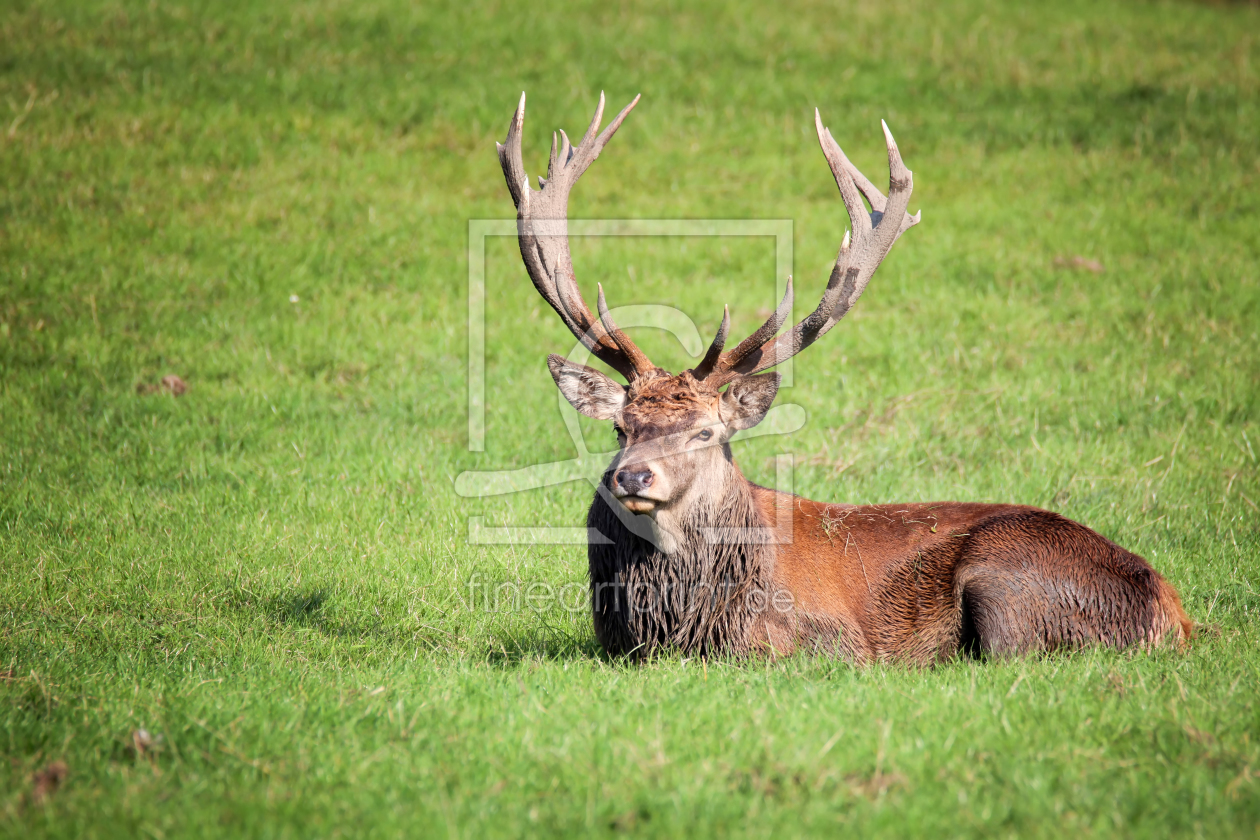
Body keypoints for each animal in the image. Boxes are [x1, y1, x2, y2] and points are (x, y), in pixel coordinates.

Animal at [491, 93, 1189, 664]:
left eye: (707, 433)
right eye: (619, 428)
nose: (633, 477)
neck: (683, 623)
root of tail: (1175, 614)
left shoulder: (828, 642)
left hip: (1006, 578)